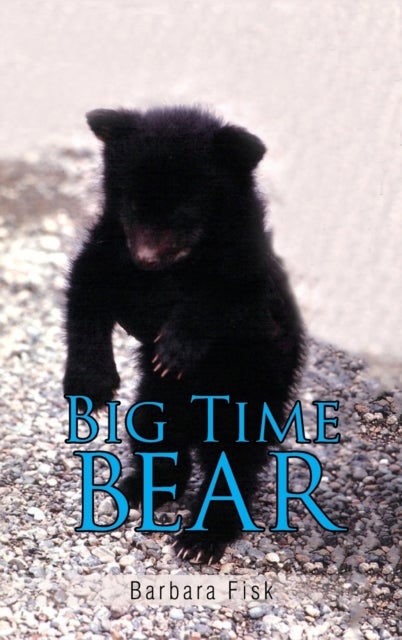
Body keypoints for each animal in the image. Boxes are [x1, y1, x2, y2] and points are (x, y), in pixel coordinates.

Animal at [63, 106, 305, 563]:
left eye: (184, 213)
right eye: (132, 203)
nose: (145, 258)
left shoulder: (251, 276)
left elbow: (224, 302)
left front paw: (176, 349)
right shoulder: (109, 247)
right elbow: (86, 294)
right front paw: (90, 383)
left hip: (251, 394)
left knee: (234, 461)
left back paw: (202, 538)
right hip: (155, 400)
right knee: (157, 437)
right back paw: (140, 488)